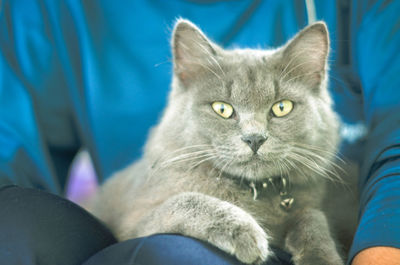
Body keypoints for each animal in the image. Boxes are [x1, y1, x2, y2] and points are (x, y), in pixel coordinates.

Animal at [89, 19, 352, 262]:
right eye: (222, 109)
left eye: (282, 107)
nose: (254, 139)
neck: (254, 190)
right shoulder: (135, 221)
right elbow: (185, 200)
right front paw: (245, 232)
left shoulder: (307, 205)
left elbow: (312, 217)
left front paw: (321, 256)